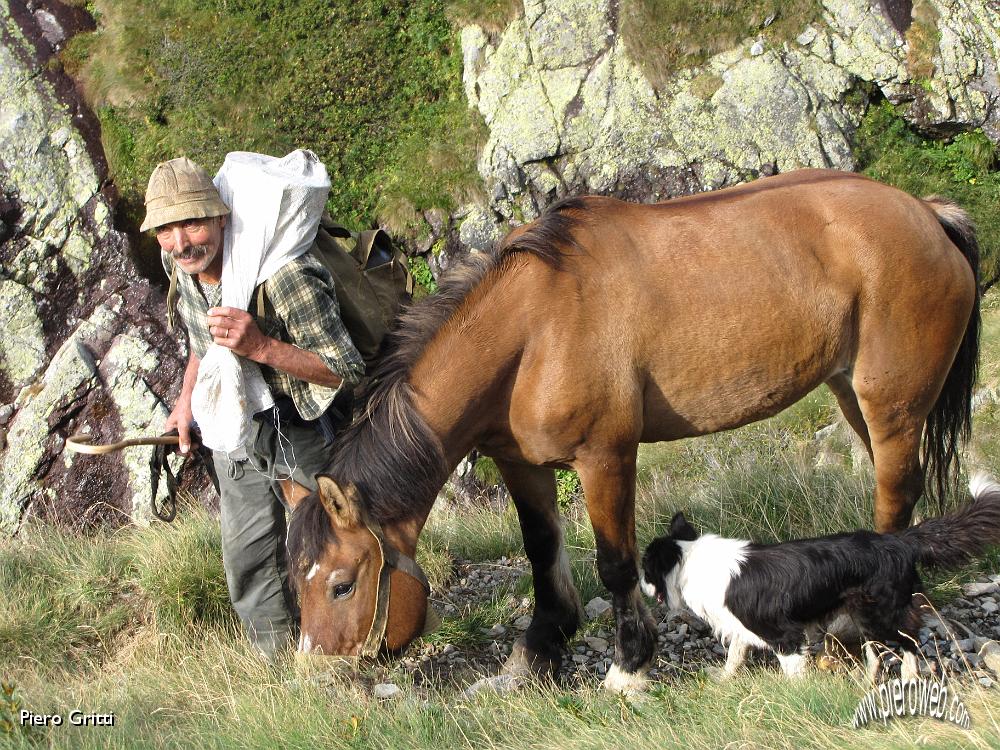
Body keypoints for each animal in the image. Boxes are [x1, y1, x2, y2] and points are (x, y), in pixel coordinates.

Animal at [640, 478, 1000, 684]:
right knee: (882, 647)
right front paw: (725, 678)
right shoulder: (741, 624)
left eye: (645, 569)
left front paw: (795, 697)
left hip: (879, 612)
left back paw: (909, 676)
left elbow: (791, 668)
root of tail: (899, 540)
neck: (688, 557)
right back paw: (869, 679)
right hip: (864, 613)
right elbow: (736, 654)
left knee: (908, 639)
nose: (640, 586)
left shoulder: (782, 632)